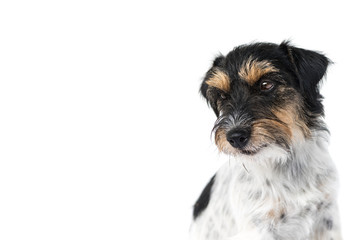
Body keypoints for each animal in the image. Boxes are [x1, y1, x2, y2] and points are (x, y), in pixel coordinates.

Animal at [190, 42, 342, 239]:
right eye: (222, 96)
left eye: (266, 84)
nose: (235, 137)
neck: (285, 162)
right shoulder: (260, 228)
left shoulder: (326, 217)